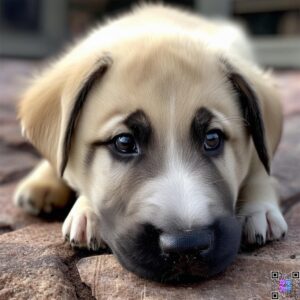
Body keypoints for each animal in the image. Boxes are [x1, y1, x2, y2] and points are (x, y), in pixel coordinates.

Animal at [13, 4, 286, 282]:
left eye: (212, 138)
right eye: (124, 142)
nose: (186, 246)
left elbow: (259, 167)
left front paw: (260, 208)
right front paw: (87, 211)